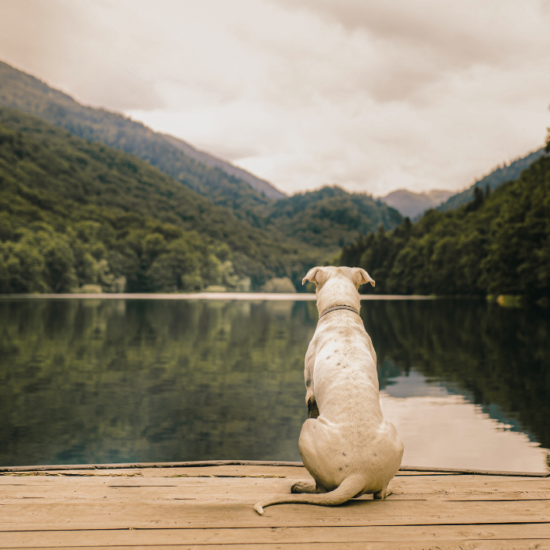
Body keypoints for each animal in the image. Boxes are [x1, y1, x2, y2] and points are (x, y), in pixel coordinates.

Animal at [256, 268, 406, 516]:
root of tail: (358, 473)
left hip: (307, 431)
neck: (340, 313)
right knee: (380, 493)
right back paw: (389, 489)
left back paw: (302, 486)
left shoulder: (310, 393)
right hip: (395, 437)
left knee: (322, 488)